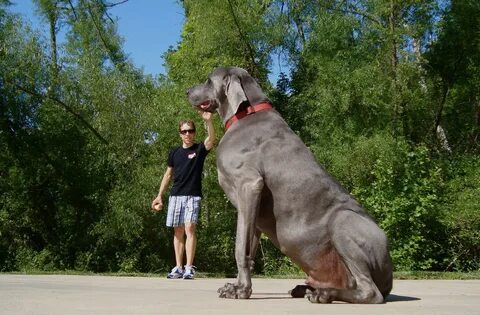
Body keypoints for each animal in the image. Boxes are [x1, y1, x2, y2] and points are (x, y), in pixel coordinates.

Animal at [186, 66, 392, 304]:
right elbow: (249, 249)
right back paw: (310, 289)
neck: (246, 114)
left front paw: (242, 291)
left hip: (343, 221)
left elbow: (239, 248)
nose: (187, 91)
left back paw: (324, 294)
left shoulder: (249, 185)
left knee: (371, 292)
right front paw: (237, 286)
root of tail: (390, 277)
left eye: (208, 81)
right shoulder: (253, 206)